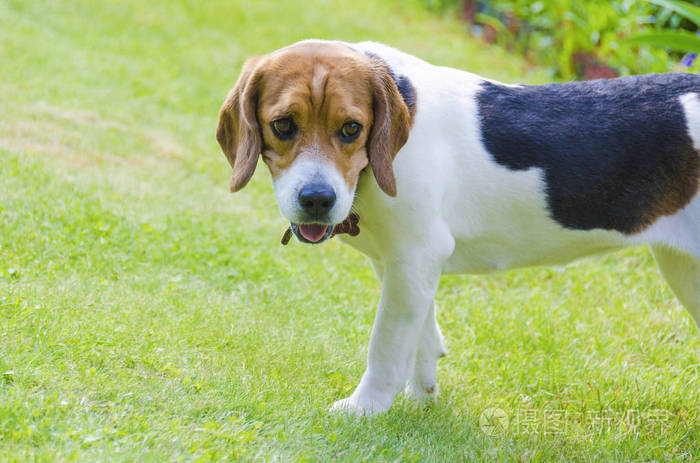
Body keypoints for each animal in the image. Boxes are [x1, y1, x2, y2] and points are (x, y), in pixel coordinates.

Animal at [217, 41, 700, 416]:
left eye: (351, 128)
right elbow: (420, 334)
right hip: (684, 271)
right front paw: (423, 398)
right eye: (283, 125)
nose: (317, 200)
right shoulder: (404, 265)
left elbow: (386, 345)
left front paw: (365, 408)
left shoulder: (415, 256)